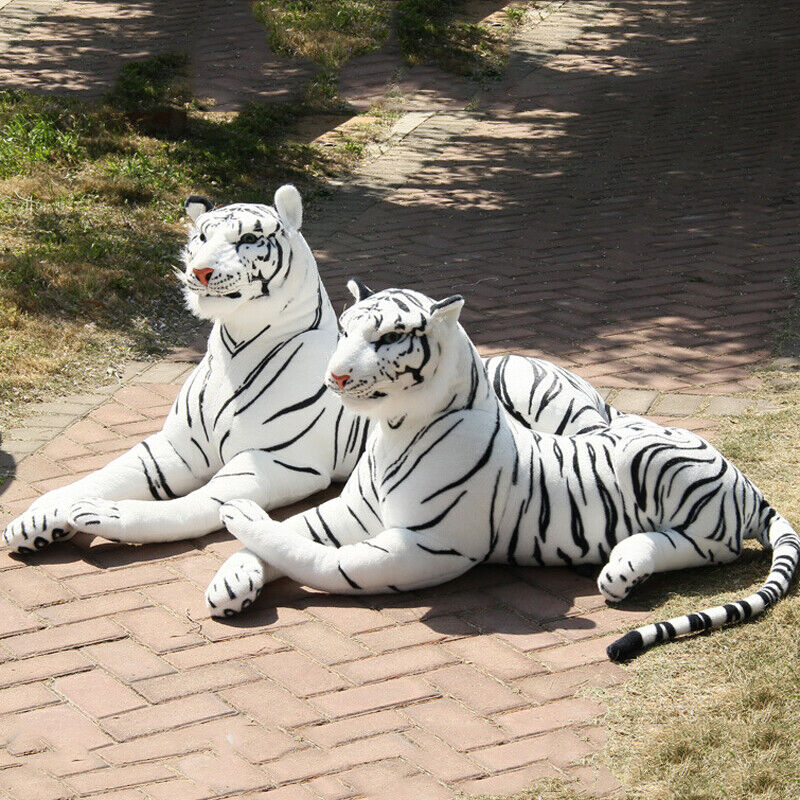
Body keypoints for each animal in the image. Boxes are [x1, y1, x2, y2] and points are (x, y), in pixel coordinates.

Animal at [3, 187, 617, 569]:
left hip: (542, 397)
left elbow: (196, 504)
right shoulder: (172, 448)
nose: (199, 272)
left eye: (247, 239)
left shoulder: (277, 462)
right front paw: (38, 518)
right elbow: (97, 476)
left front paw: (102, 517)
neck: (231, 345)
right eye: (200, 237)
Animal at [216, 283, 800, 661]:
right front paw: (233, 578)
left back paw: (625, 568)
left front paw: (240, 515)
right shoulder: (353, 510)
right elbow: (298, 528)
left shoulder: (424, 548)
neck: (392, 429)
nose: (334, 377)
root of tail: (747, 483)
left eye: (387, 339)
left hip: (666, 472)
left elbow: (325, 560)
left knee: (705, 546)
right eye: (343, 330)